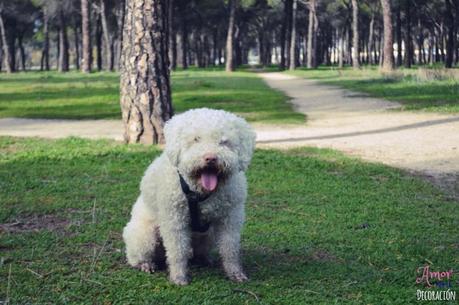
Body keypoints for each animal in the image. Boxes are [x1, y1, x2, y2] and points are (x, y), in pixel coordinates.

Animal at [122, 108, 256, 284]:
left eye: (224, 142)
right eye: (196, 139)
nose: (210, 158)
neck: (200, 192)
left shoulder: (230, 218)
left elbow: (230, 248)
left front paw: (235, 272)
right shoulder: (174, 220)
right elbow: (178, 251)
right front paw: (179, 277)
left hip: (208, 234)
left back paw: (204, 259)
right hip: (144, 235)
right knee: (138, 255)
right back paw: (145, 264)